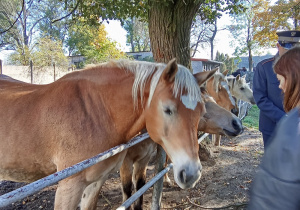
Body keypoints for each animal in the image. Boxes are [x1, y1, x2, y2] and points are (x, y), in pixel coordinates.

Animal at [0, 59, 217, 210]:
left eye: (201, 111)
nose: (192, 174)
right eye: (168, 109)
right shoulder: (68, 186)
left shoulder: (95, 183)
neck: (93, 111)